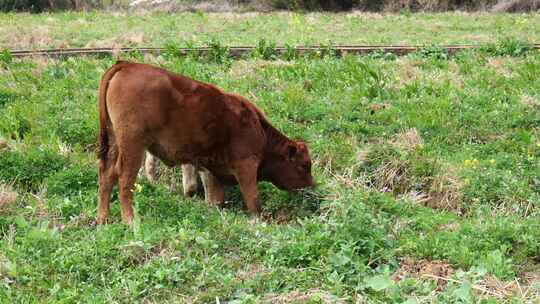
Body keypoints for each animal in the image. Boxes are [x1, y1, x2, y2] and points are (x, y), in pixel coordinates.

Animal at [99, 60, 314, 224]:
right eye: (304, 165)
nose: (312, 186)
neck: (258, 128)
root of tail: (126, 64)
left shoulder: (210, 168)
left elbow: (214, 199)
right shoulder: (246, 166)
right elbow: (253, 200)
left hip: (114, 141)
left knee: (106, 174)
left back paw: (103, 219)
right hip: (132, 145)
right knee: (124, 179)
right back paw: (130, 220)